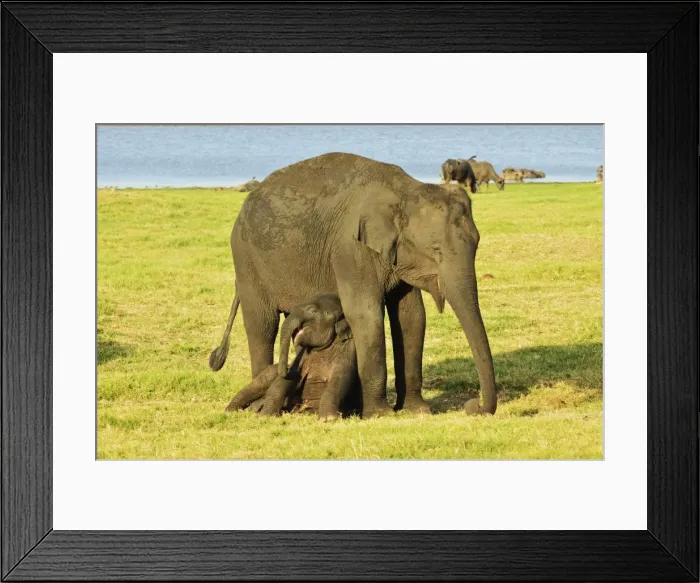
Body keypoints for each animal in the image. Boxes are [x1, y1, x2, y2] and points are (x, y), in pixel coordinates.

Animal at [225, 293, 360, 419]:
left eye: (312, 311)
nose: (286, 368)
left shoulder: (348, 352)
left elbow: (341, 379)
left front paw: (328, 418)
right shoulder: (303, 355)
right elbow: (288, 379)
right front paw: (266, 415)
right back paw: (231, 411)